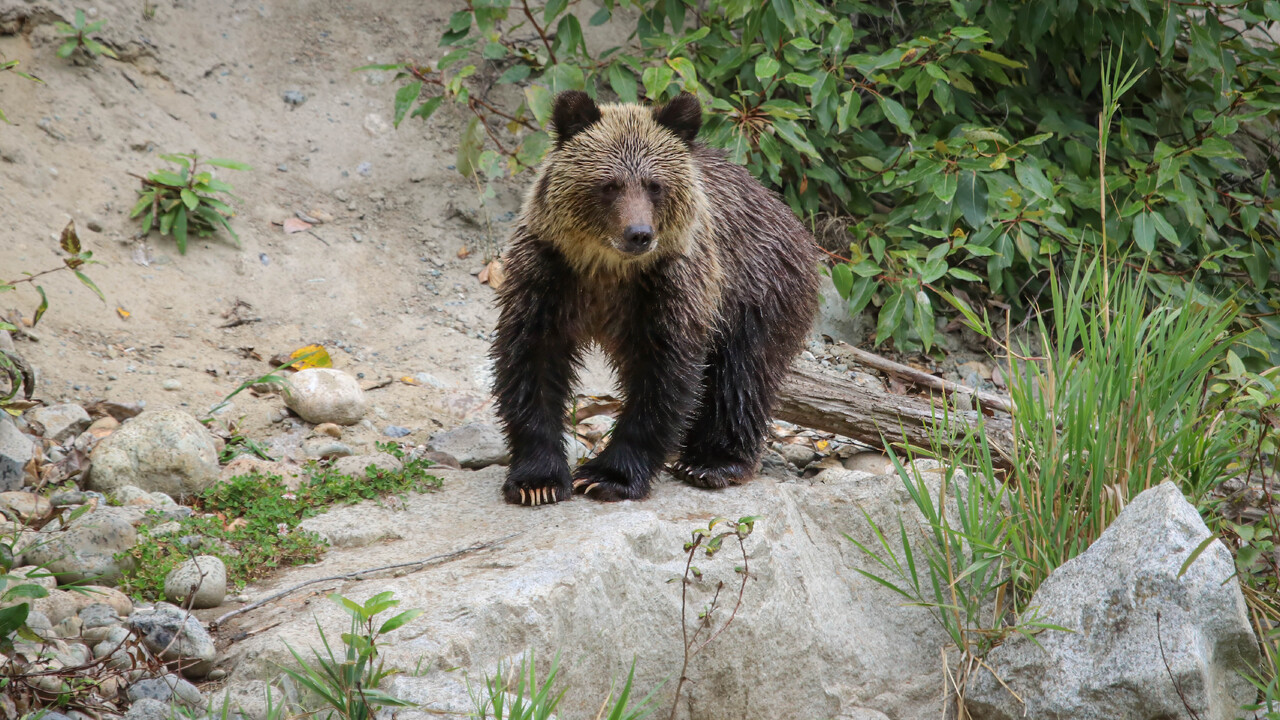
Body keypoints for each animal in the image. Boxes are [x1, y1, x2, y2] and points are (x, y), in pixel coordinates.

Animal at [491, 89, 819, 506]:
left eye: (654, 185)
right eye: (609, 184)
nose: (639, 234)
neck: (607, 269)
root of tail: (788, 215)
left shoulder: (670, 286)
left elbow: (663, 375)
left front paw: (608, 476)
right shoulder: (548, 277)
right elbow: (531, 362)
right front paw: (538, 480)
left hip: (756, 290)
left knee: (741, 374)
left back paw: (711, 462)